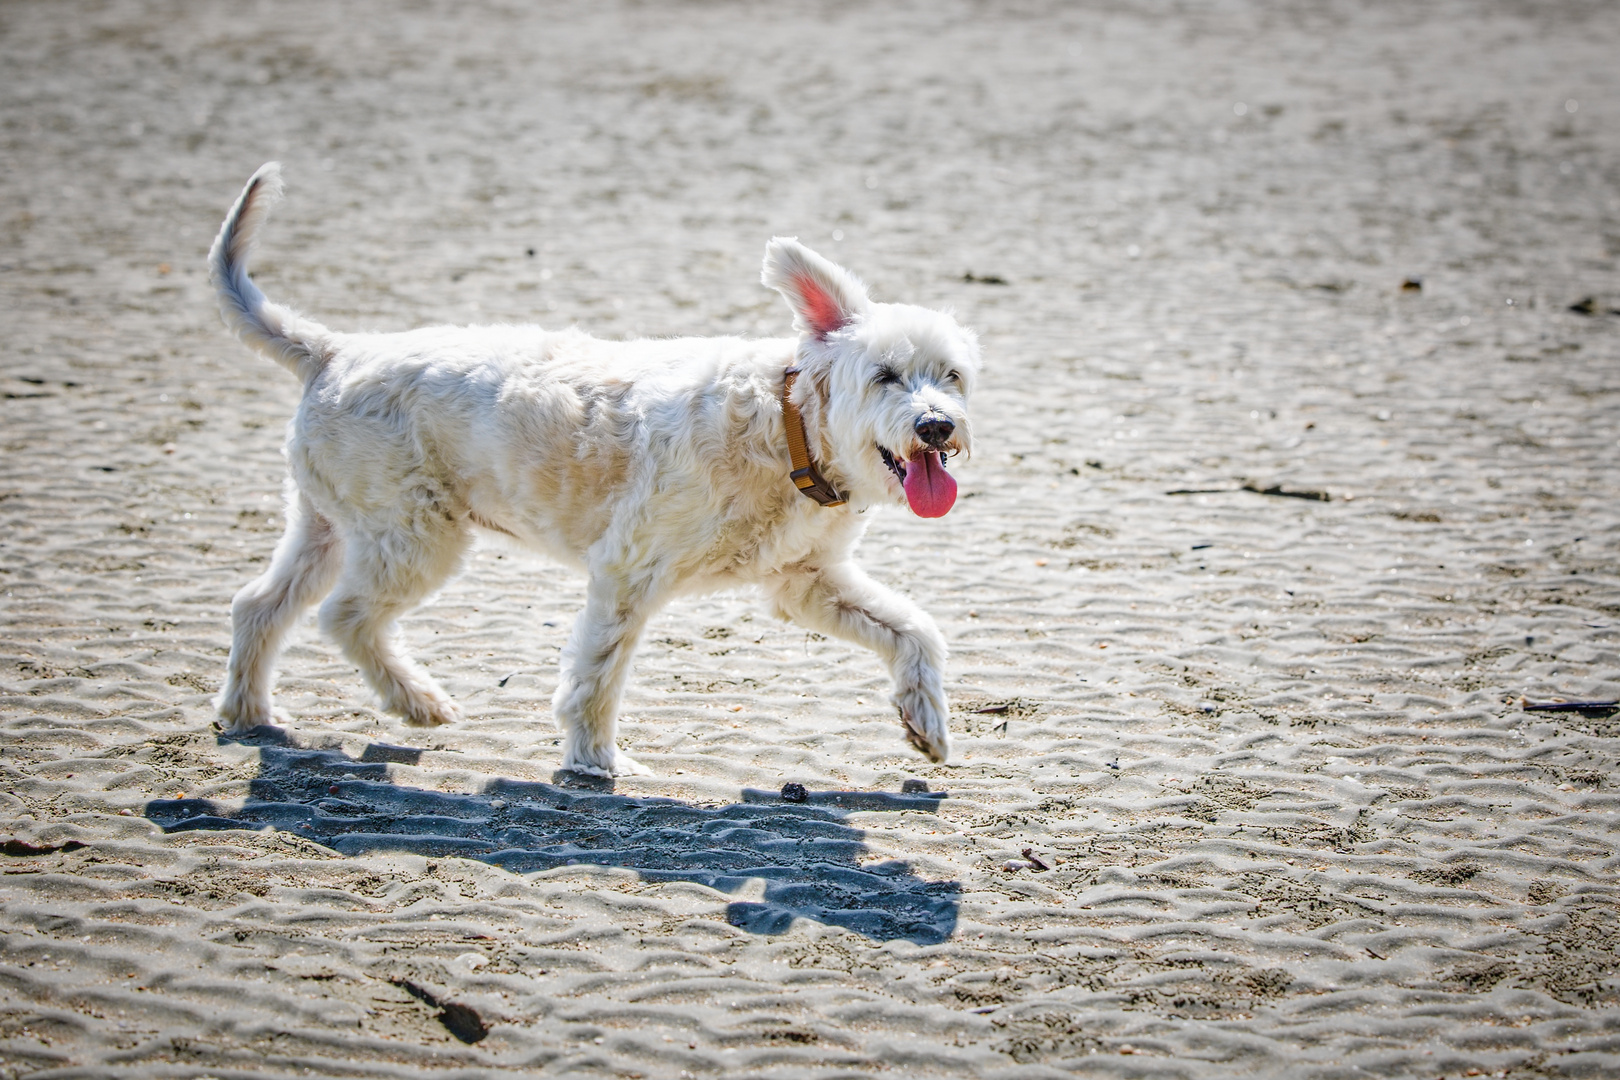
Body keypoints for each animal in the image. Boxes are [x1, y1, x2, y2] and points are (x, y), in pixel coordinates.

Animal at [210, 162, 978, 777]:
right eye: (884, 376)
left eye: (951, 375)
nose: (936, 427)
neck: (786, 433)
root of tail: (332, 349)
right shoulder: (627, 571)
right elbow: (596, 677)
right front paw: (595, 762)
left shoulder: (807, 583)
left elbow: (916, 629)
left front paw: (926, 722)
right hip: (416, 538)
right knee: (343, 616)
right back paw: (416, 700)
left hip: (331, 526)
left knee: (257, 605)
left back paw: (249, 712)